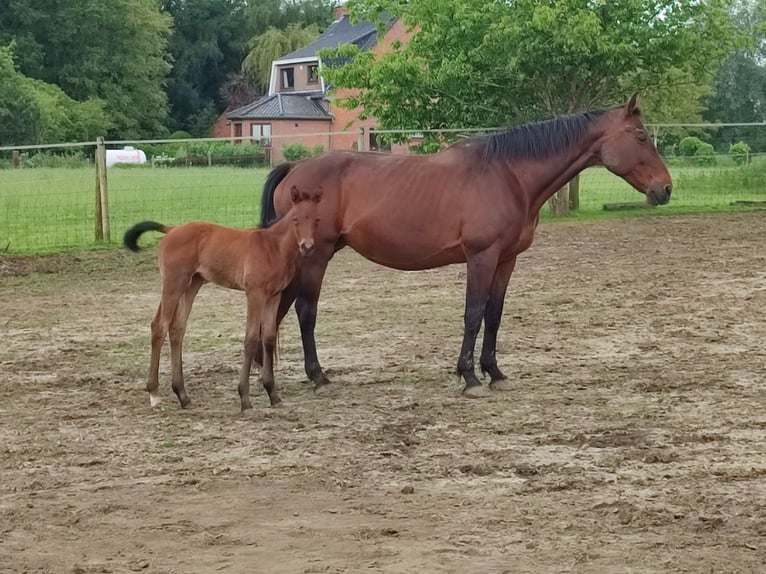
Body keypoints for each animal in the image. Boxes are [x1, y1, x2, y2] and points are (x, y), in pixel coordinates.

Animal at [124, 187, 322, 412]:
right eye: (296, 219)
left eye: (316, 219)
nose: (307, 247)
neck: (272, 247)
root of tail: (171, 229)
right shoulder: (255, 294)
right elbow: (251, 339)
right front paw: (245, 398)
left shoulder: (274, 296)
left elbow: (269, 338)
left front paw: (273, 394)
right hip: (174, 285)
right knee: (159, 326)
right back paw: (155, 393)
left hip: (191, 285)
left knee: (177, 329)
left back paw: (183, 395)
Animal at [260, 95, 676, 400]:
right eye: (641, 136)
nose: (666, 188)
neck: (507, 175)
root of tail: (295, 170)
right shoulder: (481, 257)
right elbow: (473, 313)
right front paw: (470, 376)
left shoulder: (506, 260)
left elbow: (494, 313)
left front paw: (495, 372)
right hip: (315, 256)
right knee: (305, 311)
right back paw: (318, 377)